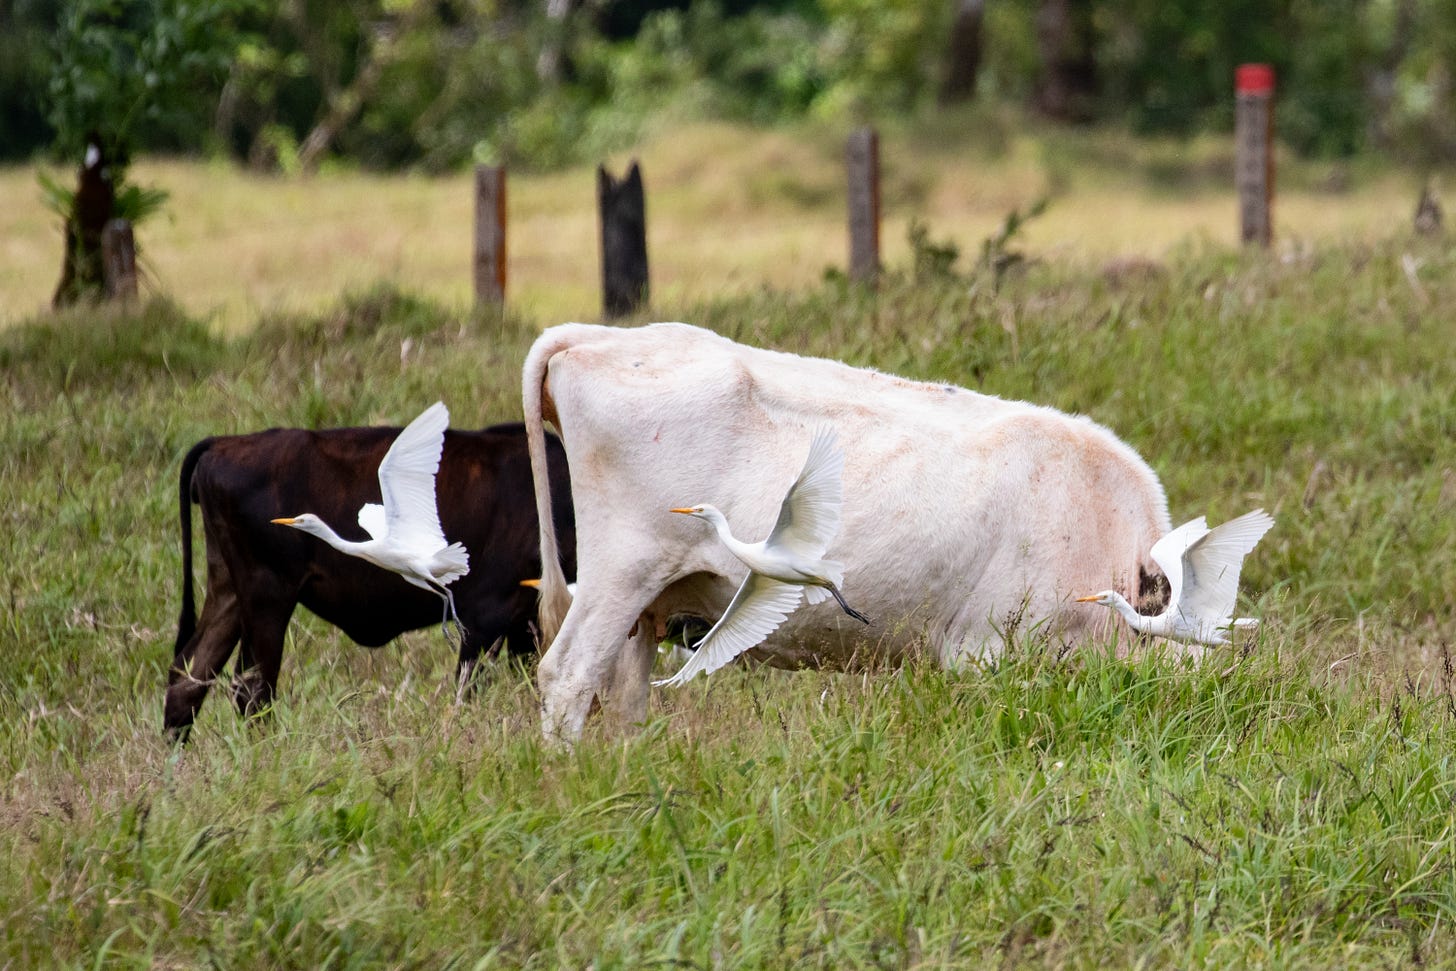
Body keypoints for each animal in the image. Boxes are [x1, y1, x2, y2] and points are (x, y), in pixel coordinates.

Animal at [166, 420, 575, 739]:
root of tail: (224, 443)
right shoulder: (486, 619)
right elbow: (468, 691)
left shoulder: (523, 623)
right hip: (267, 597)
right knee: (251, 688)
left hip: (230, 593)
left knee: (188, 677)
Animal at [524, 322, 1172, 742]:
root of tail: (600, 335)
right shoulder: (983, 650)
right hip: (622, 570)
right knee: (568, 675)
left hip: (648, 601)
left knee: (623, 699)